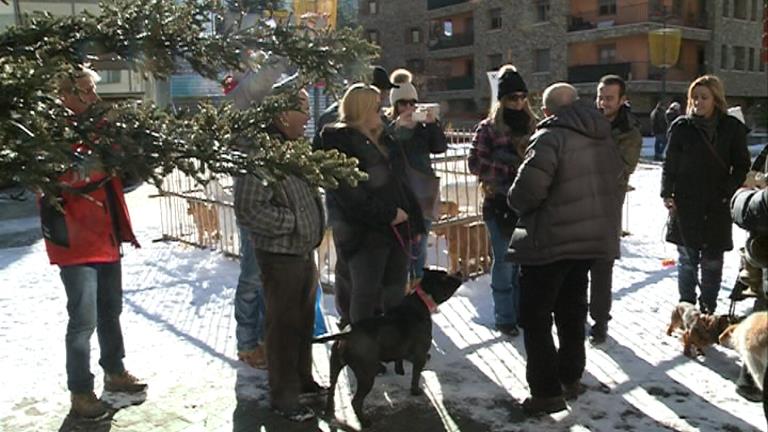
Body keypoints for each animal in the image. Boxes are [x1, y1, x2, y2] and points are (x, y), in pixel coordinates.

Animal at [314, 268, 462, 426]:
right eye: (444, 278)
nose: (459, 273)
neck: (421, 299)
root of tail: (346, 334)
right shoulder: (420, 355)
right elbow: (416, 376)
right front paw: (415, 391)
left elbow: (400, 359)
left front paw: (400, 370)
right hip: (366, 374)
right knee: (356, 401)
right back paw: (364, 421)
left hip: (334, 366)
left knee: (331, 389)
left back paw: (329, 410)